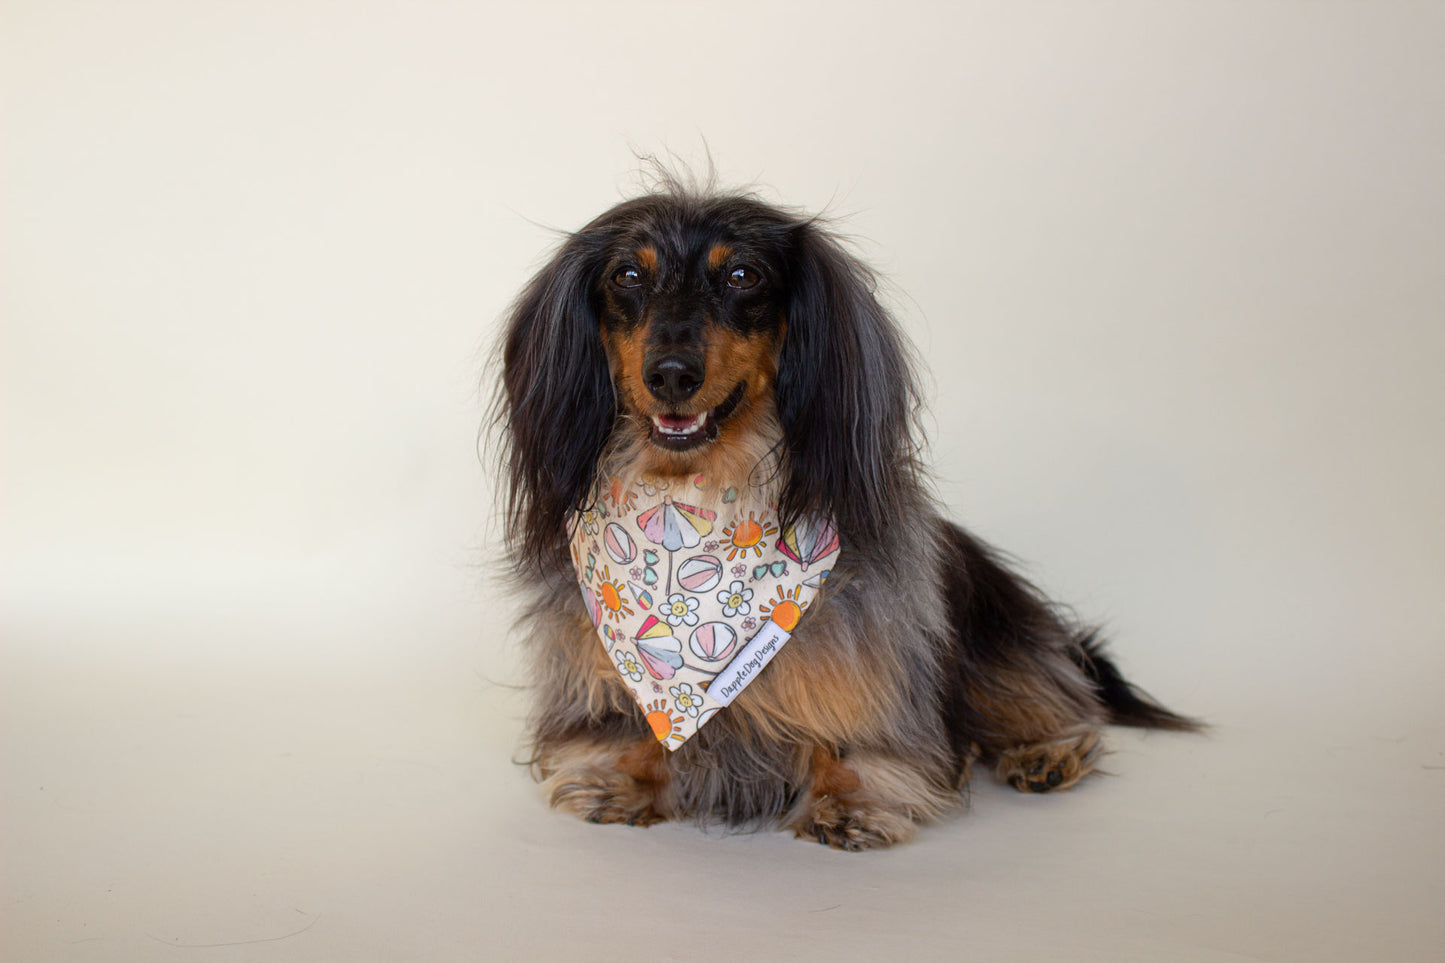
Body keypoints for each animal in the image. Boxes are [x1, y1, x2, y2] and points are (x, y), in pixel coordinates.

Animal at [491, 180, 1190, 850]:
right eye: (628, 275)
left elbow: (852, 714)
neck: (698, 498)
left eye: (742, 275)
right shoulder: (595, 649)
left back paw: (1048, 751)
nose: (671, 375)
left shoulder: (869, 640)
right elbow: (620, 719)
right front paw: (622, 778)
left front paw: (851, 797)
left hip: (996, 641)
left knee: (1054, 695)